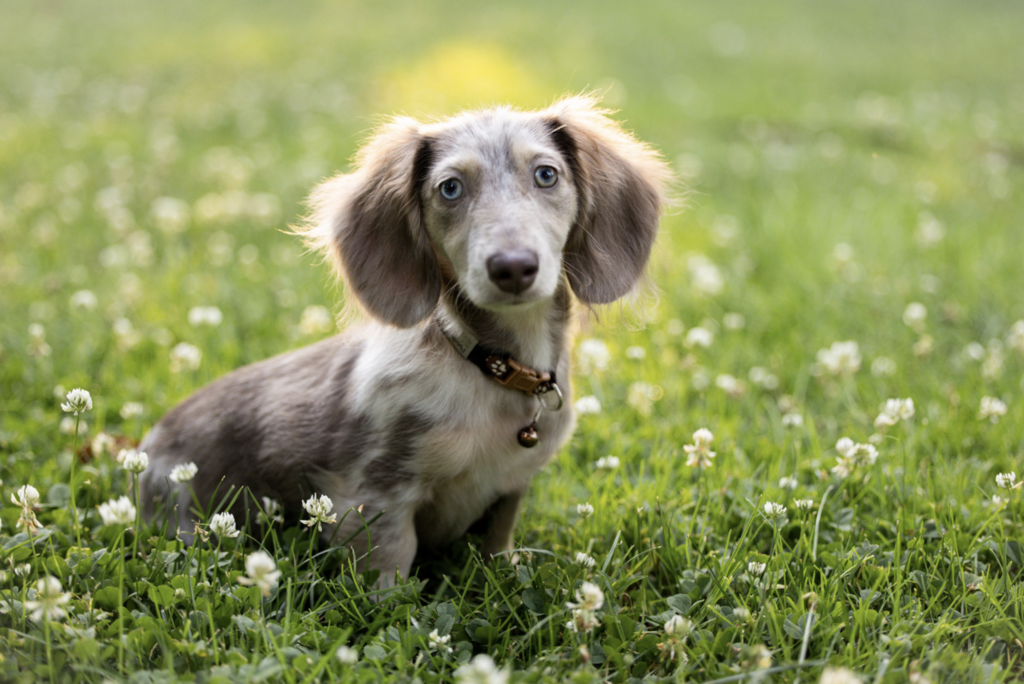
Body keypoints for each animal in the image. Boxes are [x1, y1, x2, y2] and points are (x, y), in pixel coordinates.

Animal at [139, 95, 670, 586]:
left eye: (546, 174)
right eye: (450, 188)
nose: (513, 267)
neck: (492, 371)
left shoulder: (512, 485)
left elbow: (498, 537)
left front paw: (500, 567)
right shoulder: (376, 495)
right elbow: (392, 565)